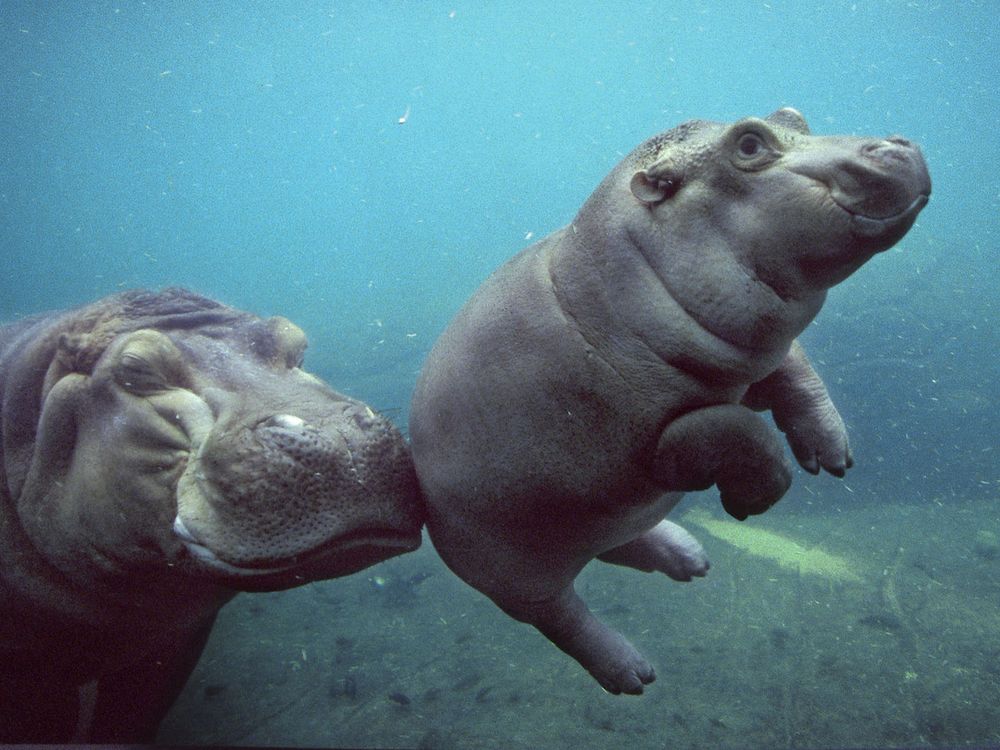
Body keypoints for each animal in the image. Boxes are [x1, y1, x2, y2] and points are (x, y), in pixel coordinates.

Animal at [408, 108, 928, 696]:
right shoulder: (656, 445)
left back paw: (690, 559)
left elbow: (798, 373)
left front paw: (833, 456)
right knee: (562, 617)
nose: (897, 144)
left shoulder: (756, 350)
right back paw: (632, 674)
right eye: (749, 143)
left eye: (793, 116)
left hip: (593, 521)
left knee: (619, 542)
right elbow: (740, 431)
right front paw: (752, 503)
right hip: (514, 576)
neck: (611, 273)